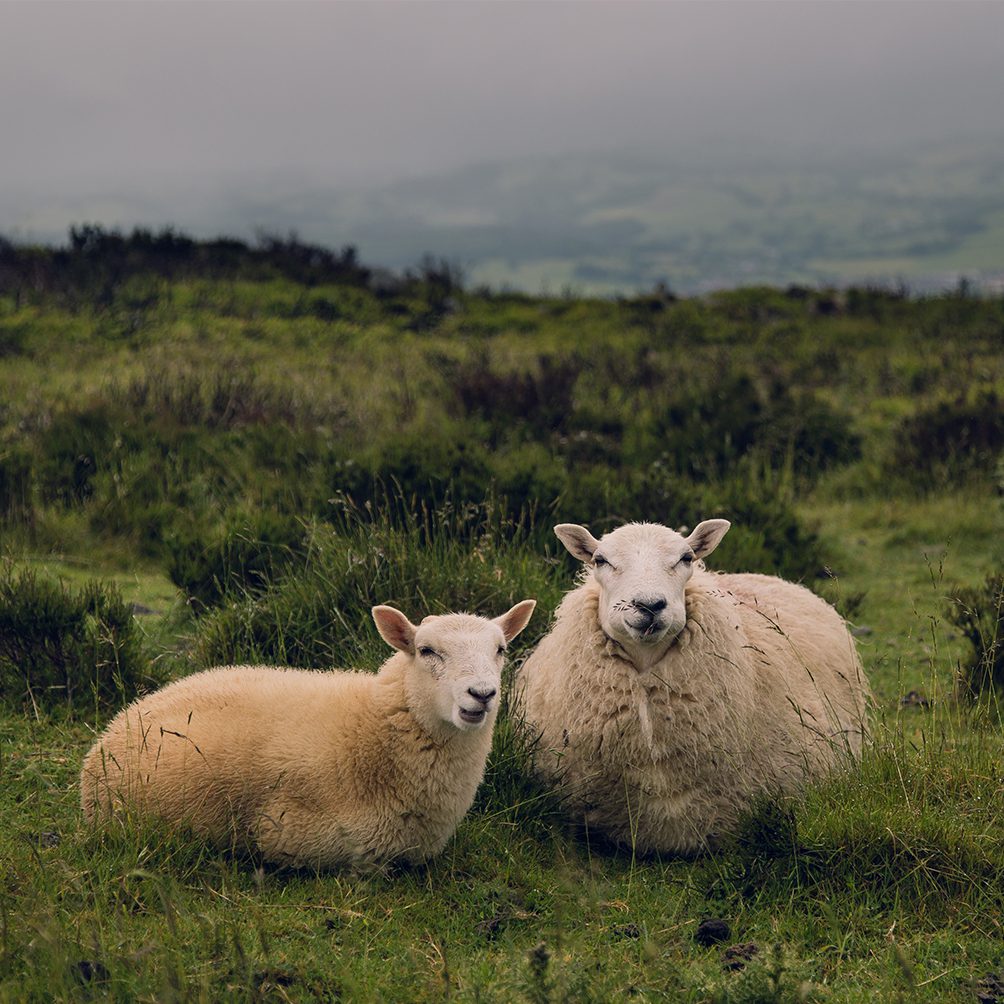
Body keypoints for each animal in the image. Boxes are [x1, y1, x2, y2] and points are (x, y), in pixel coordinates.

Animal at [82, 594, 538, 871]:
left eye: (500, 650)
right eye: (426, 651)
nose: (482, 694)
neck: (373, 731)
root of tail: (120, 720)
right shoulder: (296, 835)